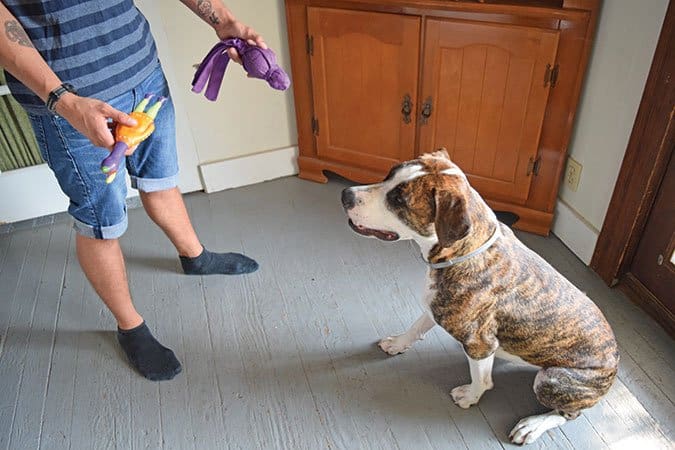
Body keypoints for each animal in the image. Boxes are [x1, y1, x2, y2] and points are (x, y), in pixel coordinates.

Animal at [340, 150, 620, 442]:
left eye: (398, 200)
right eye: (389, 175)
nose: (346, 194)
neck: (464, 252)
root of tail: (615, 361)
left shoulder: (479, 342)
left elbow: (482, 381)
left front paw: (469, 396)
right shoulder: (435, 308)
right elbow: (416, 326)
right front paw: (397, 344)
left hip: (552, 379)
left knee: (568, 414)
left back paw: (532, 425)